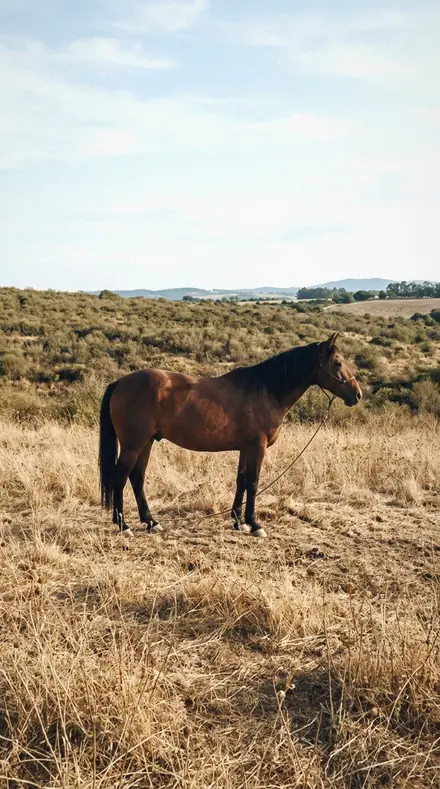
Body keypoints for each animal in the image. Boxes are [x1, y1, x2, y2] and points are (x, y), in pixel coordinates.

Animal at [99, 332, 361, 538]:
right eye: (337, 362)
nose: (357, 394)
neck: (266, 390)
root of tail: (121, 382)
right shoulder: (257, 447)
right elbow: (253, 482)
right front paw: (255, 525)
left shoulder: (246, 448)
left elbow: (241, 480)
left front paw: (238, 522)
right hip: (134, 444)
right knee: (120, 477)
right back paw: (124, 525)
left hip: (146, 443)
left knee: (137, 477)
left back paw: (151, 522)